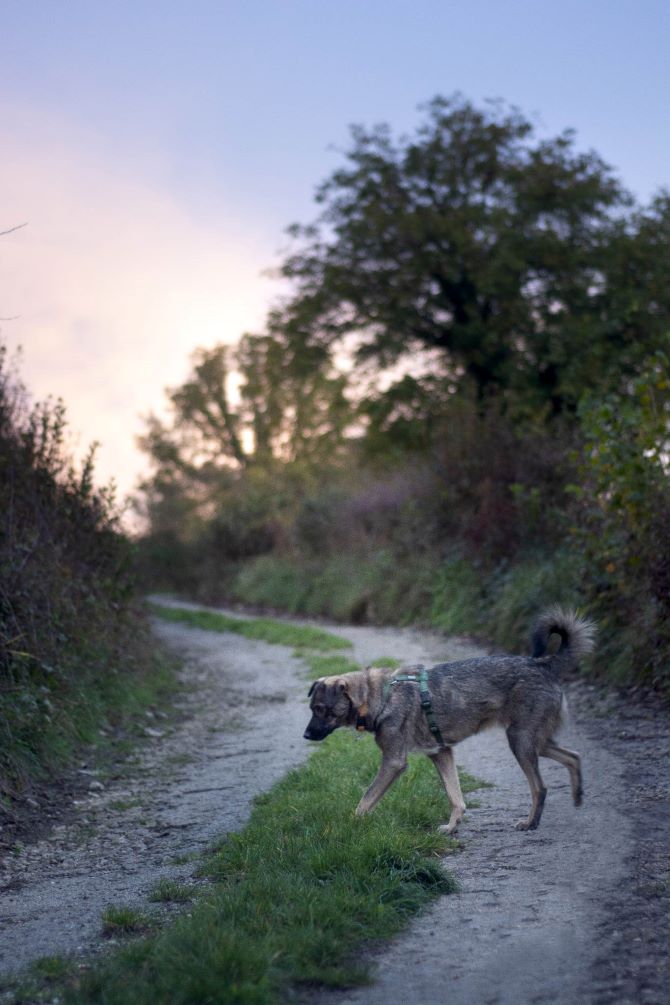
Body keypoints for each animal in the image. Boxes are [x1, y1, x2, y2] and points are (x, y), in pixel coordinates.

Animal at [303, 603, 598, 832]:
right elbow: (456, 798)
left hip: (521, 741)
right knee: (573, 756)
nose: (306, 735)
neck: (380, 696)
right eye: (312, 708)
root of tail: (543, 665)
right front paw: (452, 826)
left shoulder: (394, 762)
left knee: (540, 787)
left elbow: (366, 800)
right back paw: (578, 796)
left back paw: (530, 823)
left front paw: (351, 825)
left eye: (321, 709)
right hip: (535, 740)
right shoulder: (441, 753)